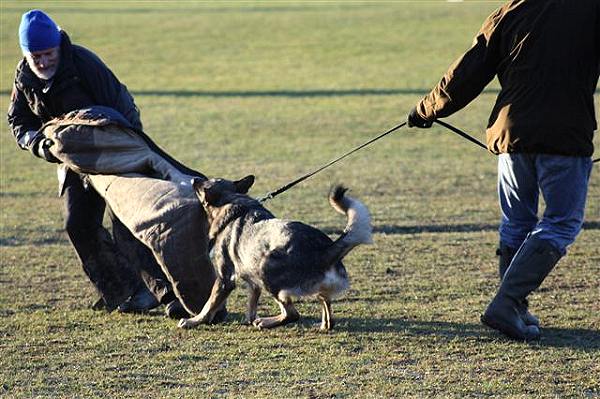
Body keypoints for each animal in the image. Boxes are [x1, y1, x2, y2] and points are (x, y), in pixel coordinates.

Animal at [177, 177, 370, 332]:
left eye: (205, 184)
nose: (194, 179)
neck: (231, 201)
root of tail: (324, 249)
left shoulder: (225, 279)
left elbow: (209, 304)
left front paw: (194, 321)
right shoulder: (253, 281)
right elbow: (251, 304)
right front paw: (249, 320)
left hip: (267, 270)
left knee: (292, 314)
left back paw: (266, 322)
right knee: (324, 302)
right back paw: (324, 325)